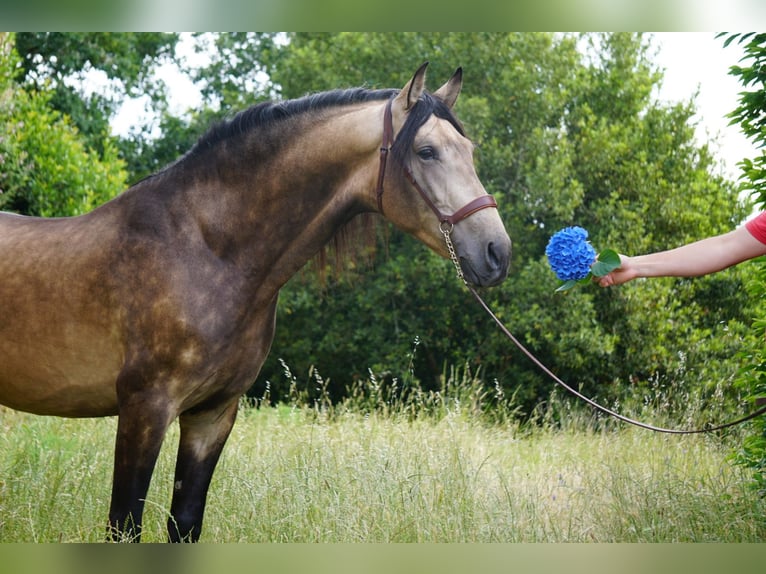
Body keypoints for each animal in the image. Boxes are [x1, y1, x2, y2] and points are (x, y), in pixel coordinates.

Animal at [1, 65, 516, 544]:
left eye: (468, 150)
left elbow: (184, 524)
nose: (497, 252)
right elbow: (124, 526)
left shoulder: (212, 415)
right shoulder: (144, 410)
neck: (208, 251)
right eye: (426, 151)